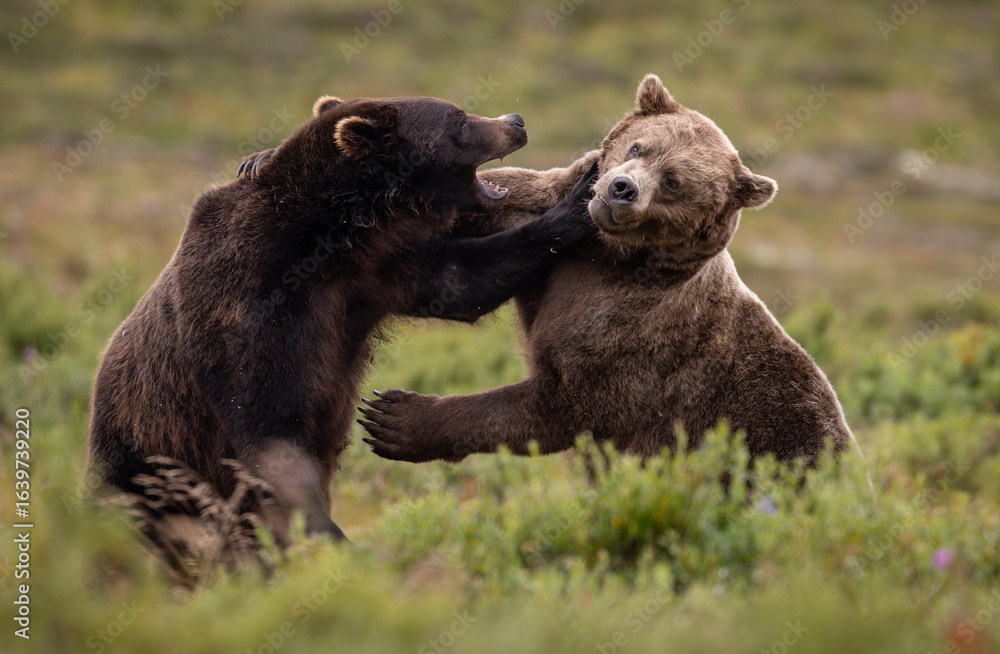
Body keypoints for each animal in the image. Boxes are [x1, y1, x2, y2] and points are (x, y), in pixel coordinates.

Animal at [87, 91, 599, 542]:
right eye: (459, 120)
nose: (515, 120)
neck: (324, 243)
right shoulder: (243, 306)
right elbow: (267, 425)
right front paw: (327, 534)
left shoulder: (370, 276)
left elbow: (462, 280)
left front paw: (577, 202)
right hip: (144, 456)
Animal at [358, 74, 859, 468]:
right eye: (638, 146)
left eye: (674, 181)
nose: (621, 188)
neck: (610, 256)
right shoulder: (549, 238)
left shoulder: (635, 336)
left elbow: (563, 404)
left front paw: (395, 418)